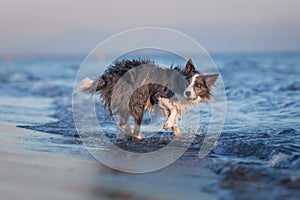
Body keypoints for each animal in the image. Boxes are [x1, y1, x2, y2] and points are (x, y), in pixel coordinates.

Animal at [74, 58, 217, 139]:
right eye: (187, 82)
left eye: (198, 86)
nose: (187, 93)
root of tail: (113, 73)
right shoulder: (157, 96)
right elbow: (173, 110)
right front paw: (168, 124)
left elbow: (174, 117)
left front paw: (177, 133)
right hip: (136, 98)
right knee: (134, 123)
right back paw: (138, 136)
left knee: (123, 122)